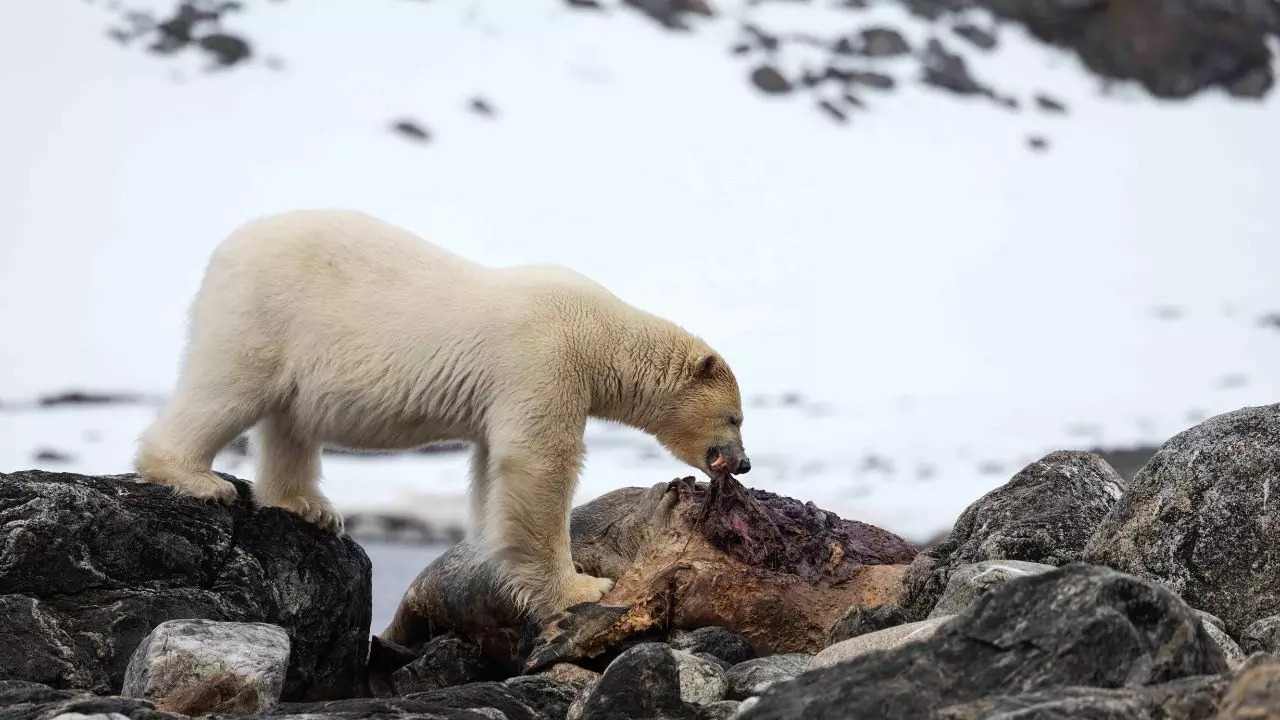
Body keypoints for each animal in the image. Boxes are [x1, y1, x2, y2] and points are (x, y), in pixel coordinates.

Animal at [132, 207, 747, 617]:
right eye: (737, 418)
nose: (741, 463)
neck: (599, 332)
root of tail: (227, 248)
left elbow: (493, 465)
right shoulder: (544, 360)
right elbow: (539, 462)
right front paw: (581, 587)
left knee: (289, 422)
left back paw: (308, 506)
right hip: (265, 314)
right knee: (226, 388)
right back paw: (196, 477)